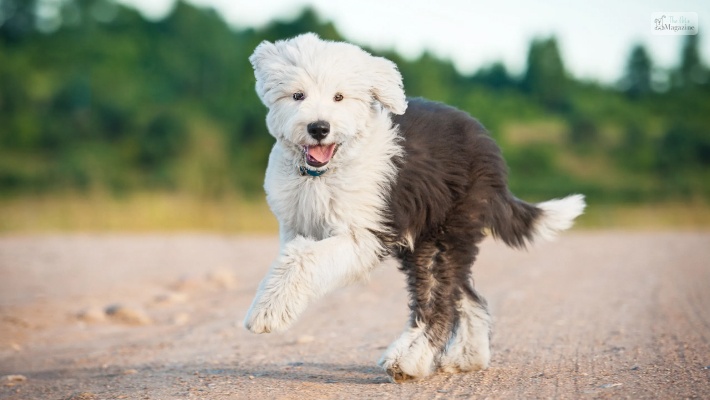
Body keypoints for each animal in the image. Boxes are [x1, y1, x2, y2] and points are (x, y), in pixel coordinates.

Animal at [242, 32, 588, 382]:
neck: (323, 175)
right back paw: (468, 357)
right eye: (297, 95)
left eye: (339, 97)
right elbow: (291, 259)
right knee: (466, 296)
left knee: (441, 302)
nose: (319, 128)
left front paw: (266, 313)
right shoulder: (295, 224)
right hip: (429, 238)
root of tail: (488, 149)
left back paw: (408, 360)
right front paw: (272, 303)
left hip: (445, 234)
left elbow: (302, 258)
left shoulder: (364, 234)